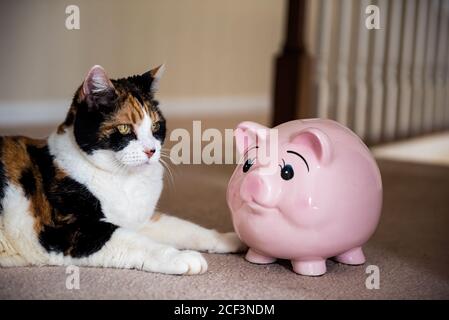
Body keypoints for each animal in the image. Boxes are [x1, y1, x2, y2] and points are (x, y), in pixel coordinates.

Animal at [0, 65, 242, 276]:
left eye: (156, 126)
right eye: (125, 128)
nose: (151, 150)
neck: (124, 181)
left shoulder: (141, 220)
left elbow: (185, 228)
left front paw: (228, 239)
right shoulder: (66, 232)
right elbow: (134, 240)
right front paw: (182, 257)